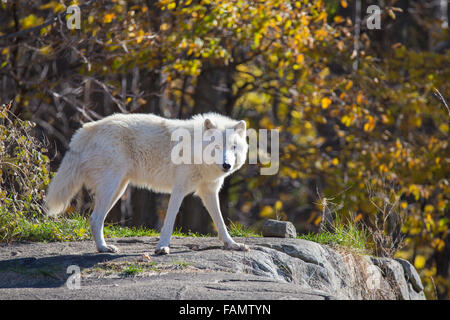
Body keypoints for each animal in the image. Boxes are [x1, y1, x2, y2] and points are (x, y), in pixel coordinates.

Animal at [45, 112, 250, 255]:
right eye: (217, 147)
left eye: (233, 147)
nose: (226, 165)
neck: (195, 150)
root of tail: (87, 127)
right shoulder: (179, 190)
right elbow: (169, 221)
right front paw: (162, 247)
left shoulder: (209, 192)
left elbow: (221, 222)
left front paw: (232, 244)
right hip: (111, 187)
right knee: (95, 218)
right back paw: (104, 248)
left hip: (117, 190)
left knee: (95, 219)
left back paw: (102, 247)